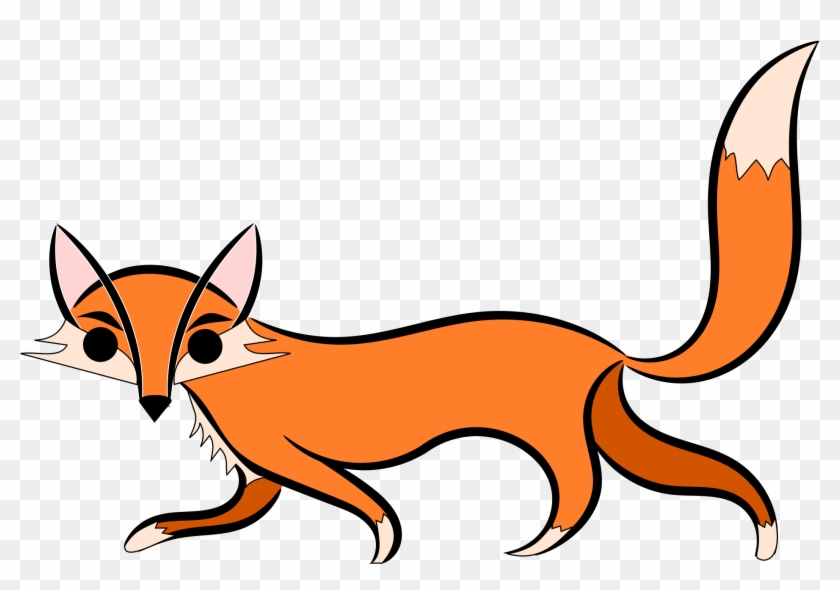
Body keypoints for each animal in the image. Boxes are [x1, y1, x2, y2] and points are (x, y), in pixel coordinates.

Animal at [25, 42, 817, 563]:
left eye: (203, 343)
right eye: (103, 345)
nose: (154, 403)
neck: (235, 374)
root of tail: (609, 350)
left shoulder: (282, 452)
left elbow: (362, 502)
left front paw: (383, 542)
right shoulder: (258, 474)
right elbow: (226, 513)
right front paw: (152, 533)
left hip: (557, 434)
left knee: (584, 487)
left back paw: (539, 545)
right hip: (609, 424)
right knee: (701, 472)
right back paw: (762, 534)